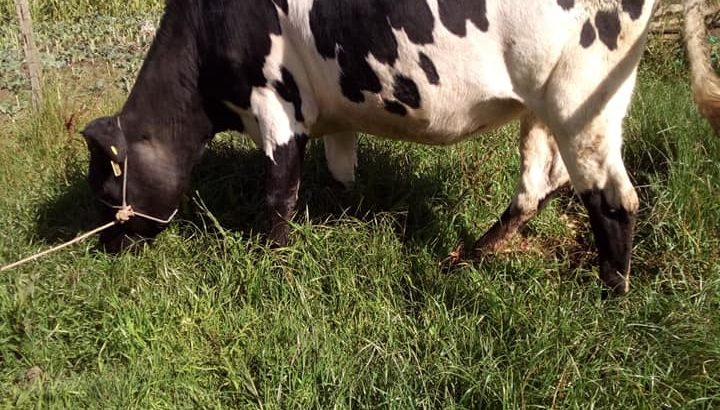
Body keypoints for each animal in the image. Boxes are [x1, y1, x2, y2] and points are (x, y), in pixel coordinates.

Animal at [82, 0, 720, 295]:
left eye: (106, 189)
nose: (105, 249)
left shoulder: (275, 102)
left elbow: (279, 194)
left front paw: (272, 263)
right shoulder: (327, 111)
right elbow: (340, 173)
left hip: (581, 99)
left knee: (612, 197)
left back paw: (611, 292)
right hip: (548, 107)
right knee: (539, 186)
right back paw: (467, 256)